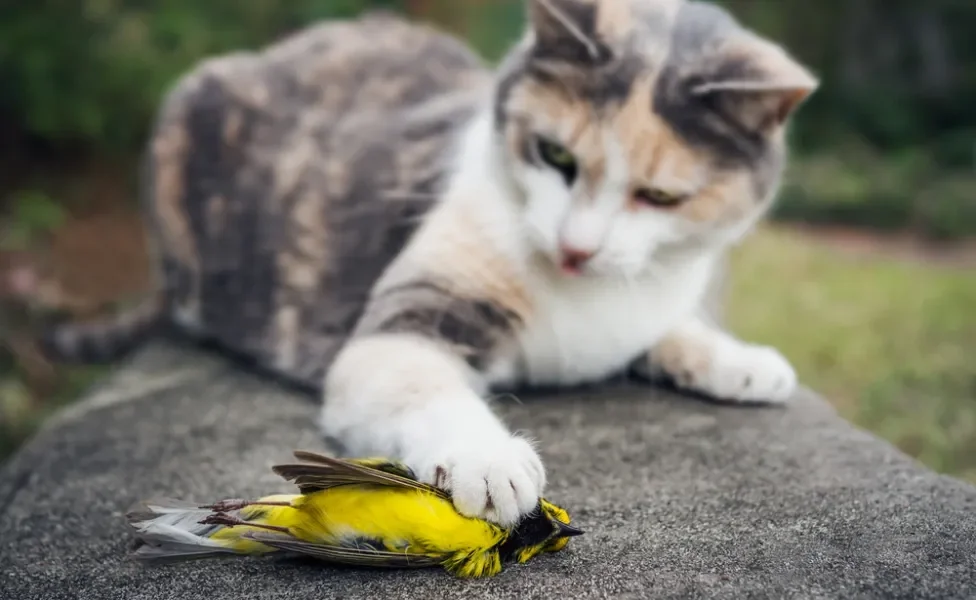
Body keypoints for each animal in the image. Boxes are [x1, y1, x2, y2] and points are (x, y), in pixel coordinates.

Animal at [36, 0, 816, 524]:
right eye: (554, 154)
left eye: (660, 196)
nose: (576, 247)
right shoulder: (404, 322)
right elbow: (420, 383)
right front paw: (489, 460)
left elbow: (672, 327)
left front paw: (742, 360)